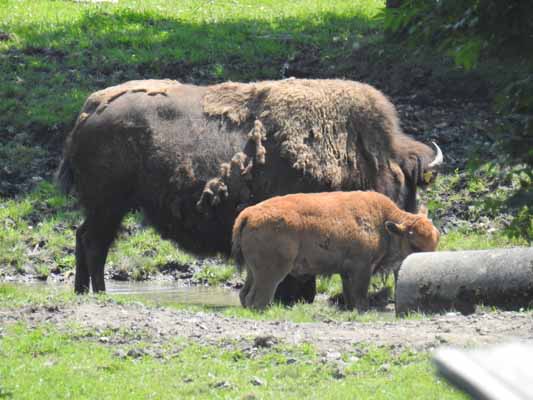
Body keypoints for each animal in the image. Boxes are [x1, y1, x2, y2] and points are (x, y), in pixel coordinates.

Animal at [56, 78, 442, 296]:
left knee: (84, 238)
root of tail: (90, 110)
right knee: (94, 244)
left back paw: (84, 291)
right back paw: (100, 293)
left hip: (105, 208)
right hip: (109, 206)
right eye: (401, 185)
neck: (359, 151)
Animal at [231, 191, 438, 310]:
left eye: (436, 240)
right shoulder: (362, 268)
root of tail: (248, 214)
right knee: (258, 298)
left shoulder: (347, 272)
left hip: (253, 271)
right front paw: (362, 309)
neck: (383, 223)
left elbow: (350, 295)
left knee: (244, 294)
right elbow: (360, 295)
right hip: (273, 272)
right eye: (414, 245)